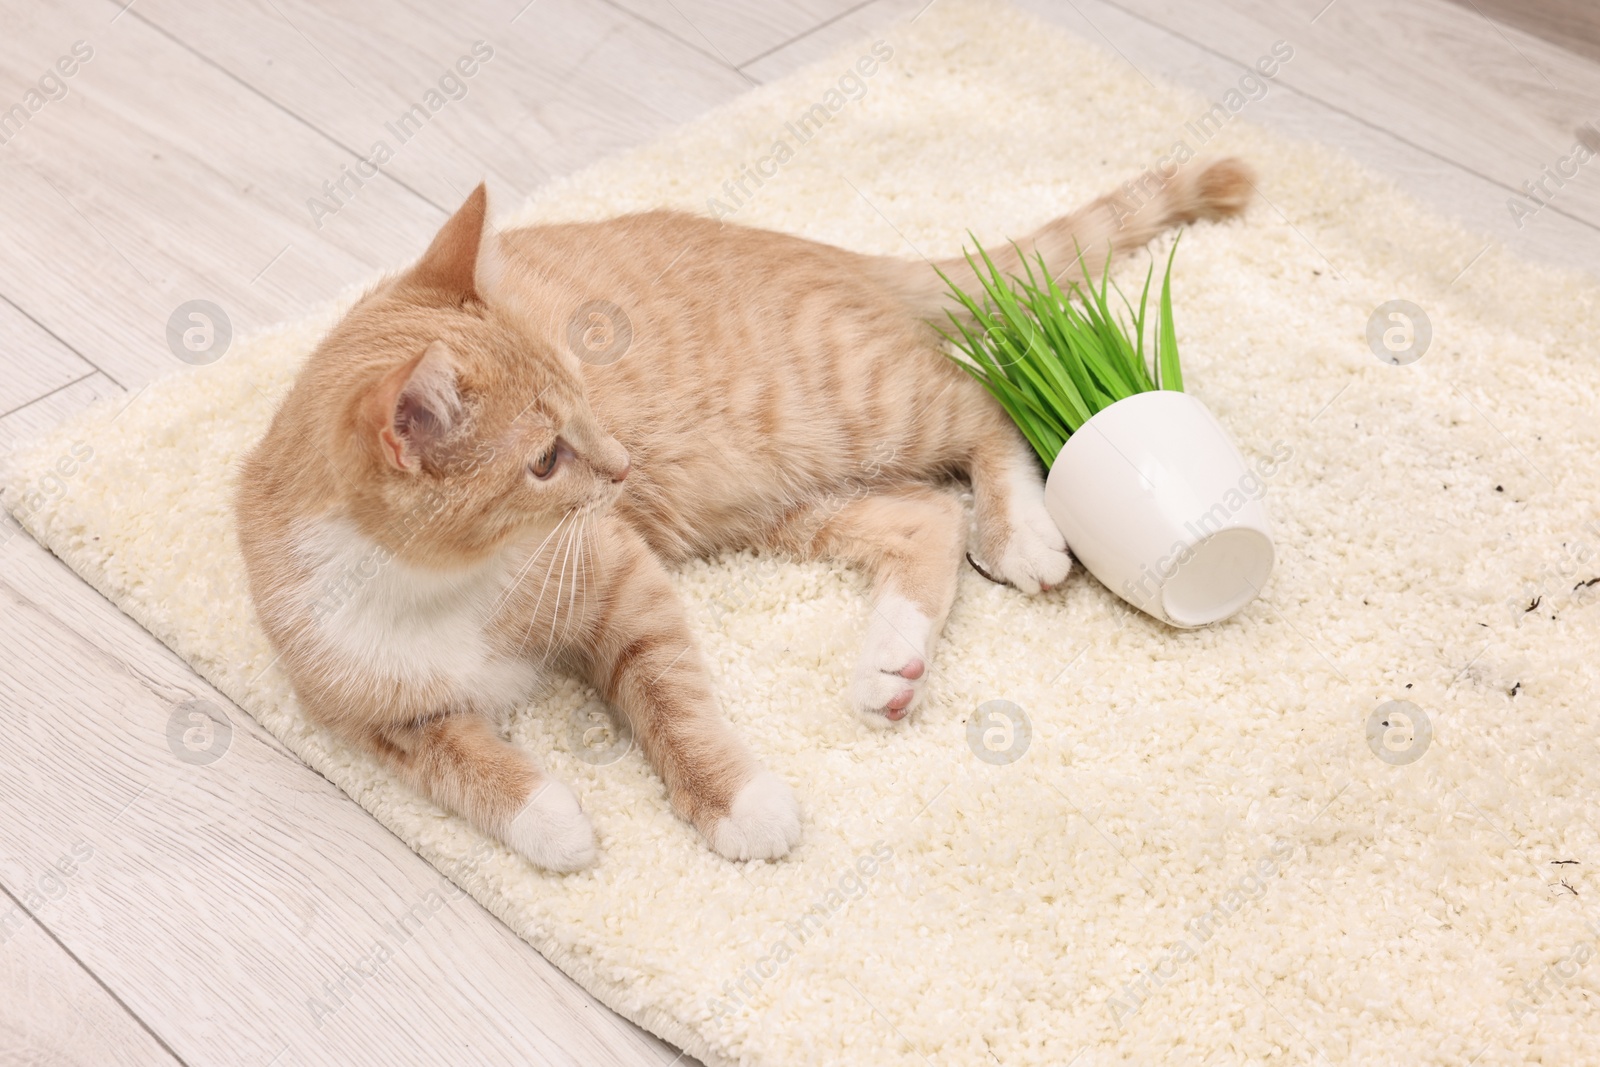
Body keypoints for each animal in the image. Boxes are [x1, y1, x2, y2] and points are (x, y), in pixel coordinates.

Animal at [233, 163, 1248, 870]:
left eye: (580, 395)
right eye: (545, 458)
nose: (619, 465)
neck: (441, 584)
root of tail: (815, 248)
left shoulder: (623, 578)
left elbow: (671, 699)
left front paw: (736, 800)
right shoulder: (374, 717)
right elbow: (465, 769)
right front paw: (550, 820)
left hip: (850, 407)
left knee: (984, 404)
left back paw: (1023, 528)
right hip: (767, 502)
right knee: (924, 517)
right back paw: (892, 659)